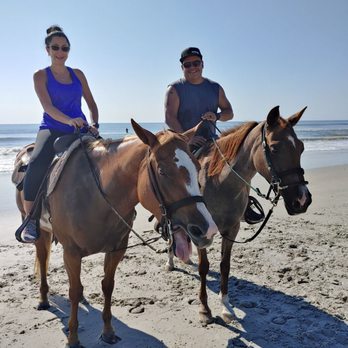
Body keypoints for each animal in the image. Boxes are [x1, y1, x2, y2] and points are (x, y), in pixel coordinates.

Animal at [13, 119, 218, 346]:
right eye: (163, 171)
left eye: (197, 167)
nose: (207, 229)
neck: (96, 194)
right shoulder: (71, 253)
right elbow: (73, 291)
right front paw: (73, 338)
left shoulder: (117, 249)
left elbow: (107, 286)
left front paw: (108, 331)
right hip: (39, 230)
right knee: (42, 260)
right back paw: (43, 299)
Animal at [166, 106, 312, 324]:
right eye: (275, 148)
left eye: (301, 148)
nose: (302, 200)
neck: (219, 182)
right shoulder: (202, 231)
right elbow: (204, 267)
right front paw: (204, 309)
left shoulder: (232, 228)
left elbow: (225, 265)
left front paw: (226, 306)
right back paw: (170, 262)